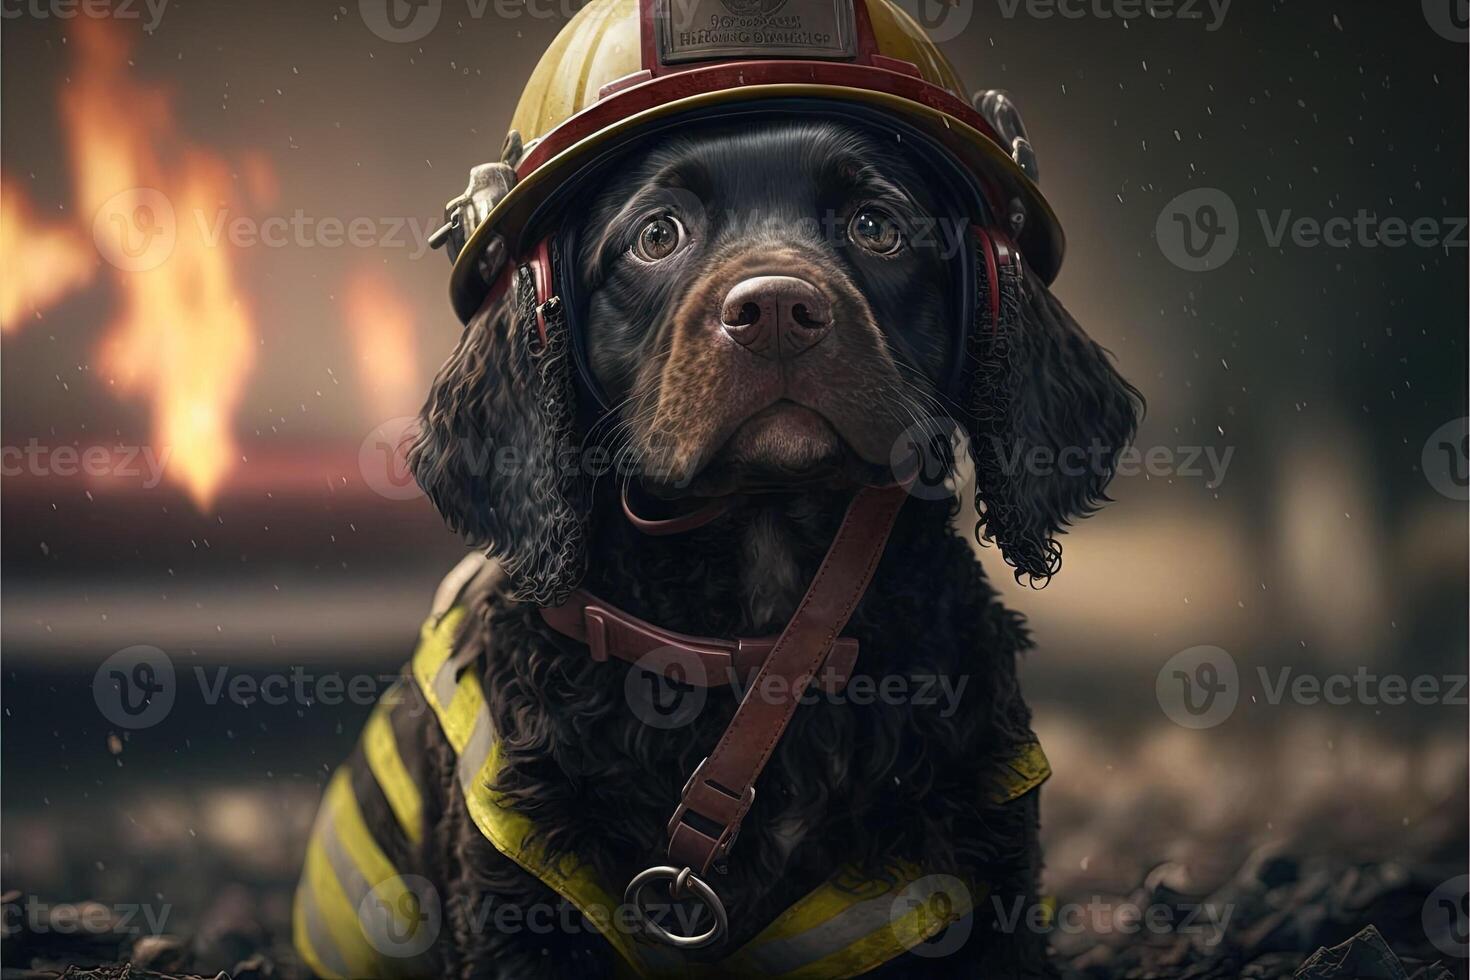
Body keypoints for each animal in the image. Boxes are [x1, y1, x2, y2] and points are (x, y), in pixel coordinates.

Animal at [298, 116, 1140, 980]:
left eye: (876, 225)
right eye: (656, 235)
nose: (775, 309)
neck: (762, 646)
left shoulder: (977, 876)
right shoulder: (517, 905)